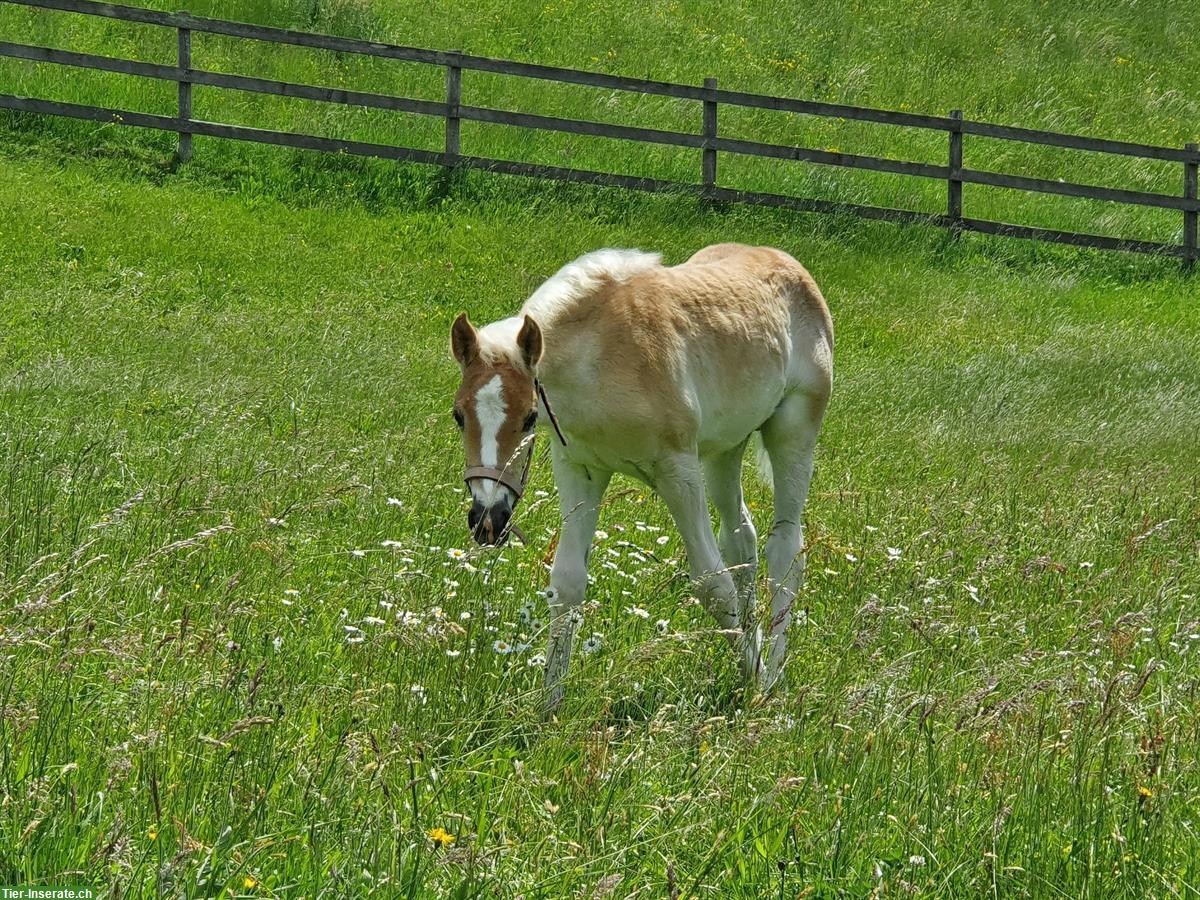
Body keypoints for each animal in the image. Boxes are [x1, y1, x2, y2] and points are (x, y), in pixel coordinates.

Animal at [451, 241, 835, 710]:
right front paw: (548, 709)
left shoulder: (678, 471)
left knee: (785, 547)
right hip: (725, 449)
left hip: (793, 432)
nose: (488, 519)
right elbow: (567, 583)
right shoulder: (580, 468)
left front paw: (754, 676)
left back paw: (772, 674)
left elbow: (713, 583)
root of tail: (786, 261)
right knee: (741, 537)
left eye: (528, 418)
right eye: (458, 416)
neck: (601, 361)